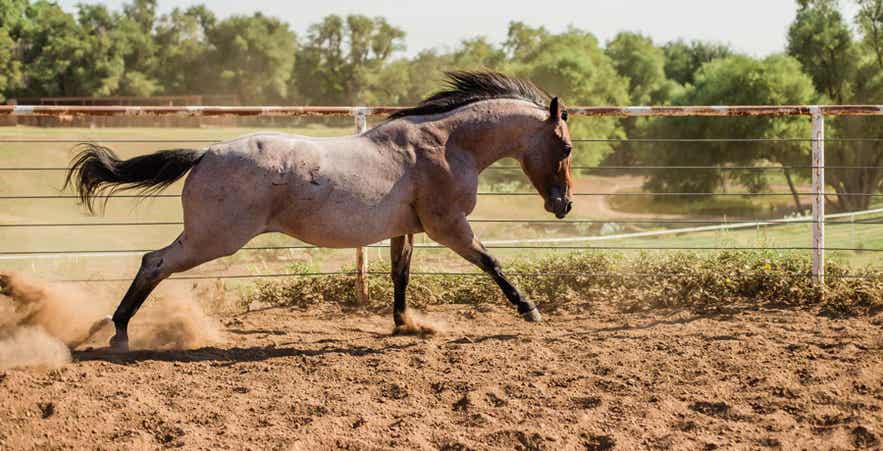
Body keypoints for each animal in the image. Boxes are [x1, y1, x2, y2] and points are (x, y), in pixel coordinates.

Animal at [65, 71, 574, 352]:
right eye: (566, 147)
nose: (563, 205)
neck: (446, 145)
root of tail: (206, 153)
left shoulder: (404, 230)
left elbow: (401, 275)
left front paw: (406, 324)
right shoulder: (449, 227)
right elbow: (491, 262)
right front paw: (529, 310)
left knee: (154, 262)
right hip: (213, 238)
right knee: (154, 262)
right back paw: (119, 332)